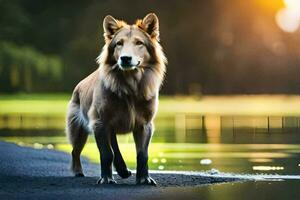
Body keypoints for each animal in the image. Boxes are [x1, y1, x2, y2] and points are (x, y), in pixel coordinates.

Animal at [66, 13, 168, 185]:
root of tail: (80, 84)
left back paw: (123, 170)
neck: (130, 87)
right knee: (75, 151)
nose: (125, 58)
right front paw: (106, 178)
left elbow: (143, 154)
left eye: (139, 43)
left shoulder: (145, 124)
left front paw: (144, 178)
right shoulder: (100, 123)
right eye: (119, 43)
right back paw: (79, 172)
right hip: (78, 129)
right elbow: (106, 154)